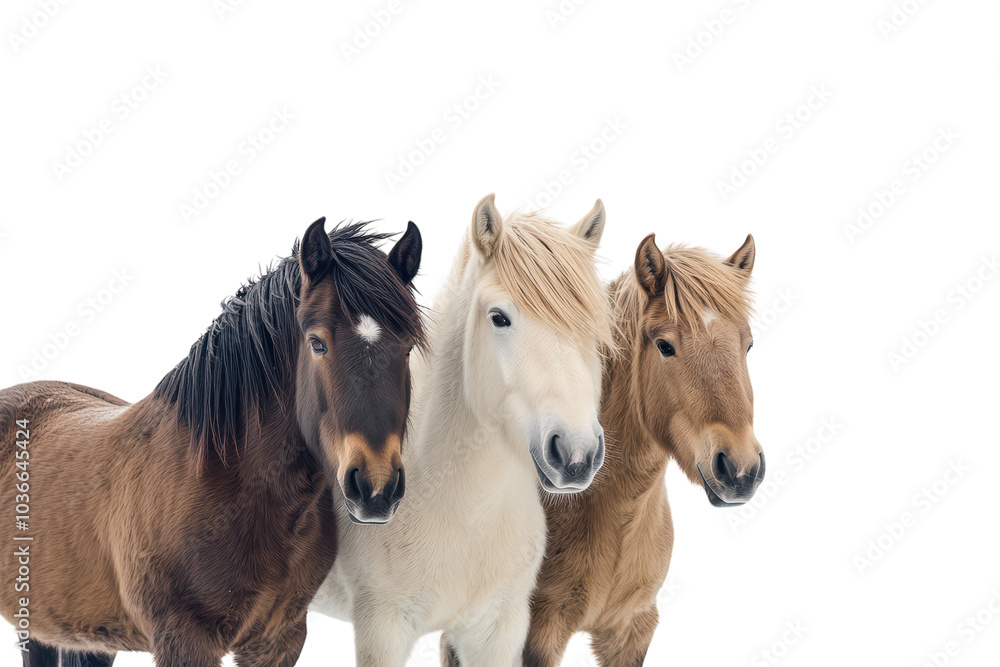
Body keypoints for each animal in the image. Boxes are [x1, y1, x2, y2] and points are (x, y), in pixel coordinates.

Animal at [309, 194, 615, 667]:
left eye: (593, 324)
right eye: (499, 317)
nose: (576, 454)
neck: (462, 513)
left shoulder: (498, 630)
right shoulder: (382, 629)